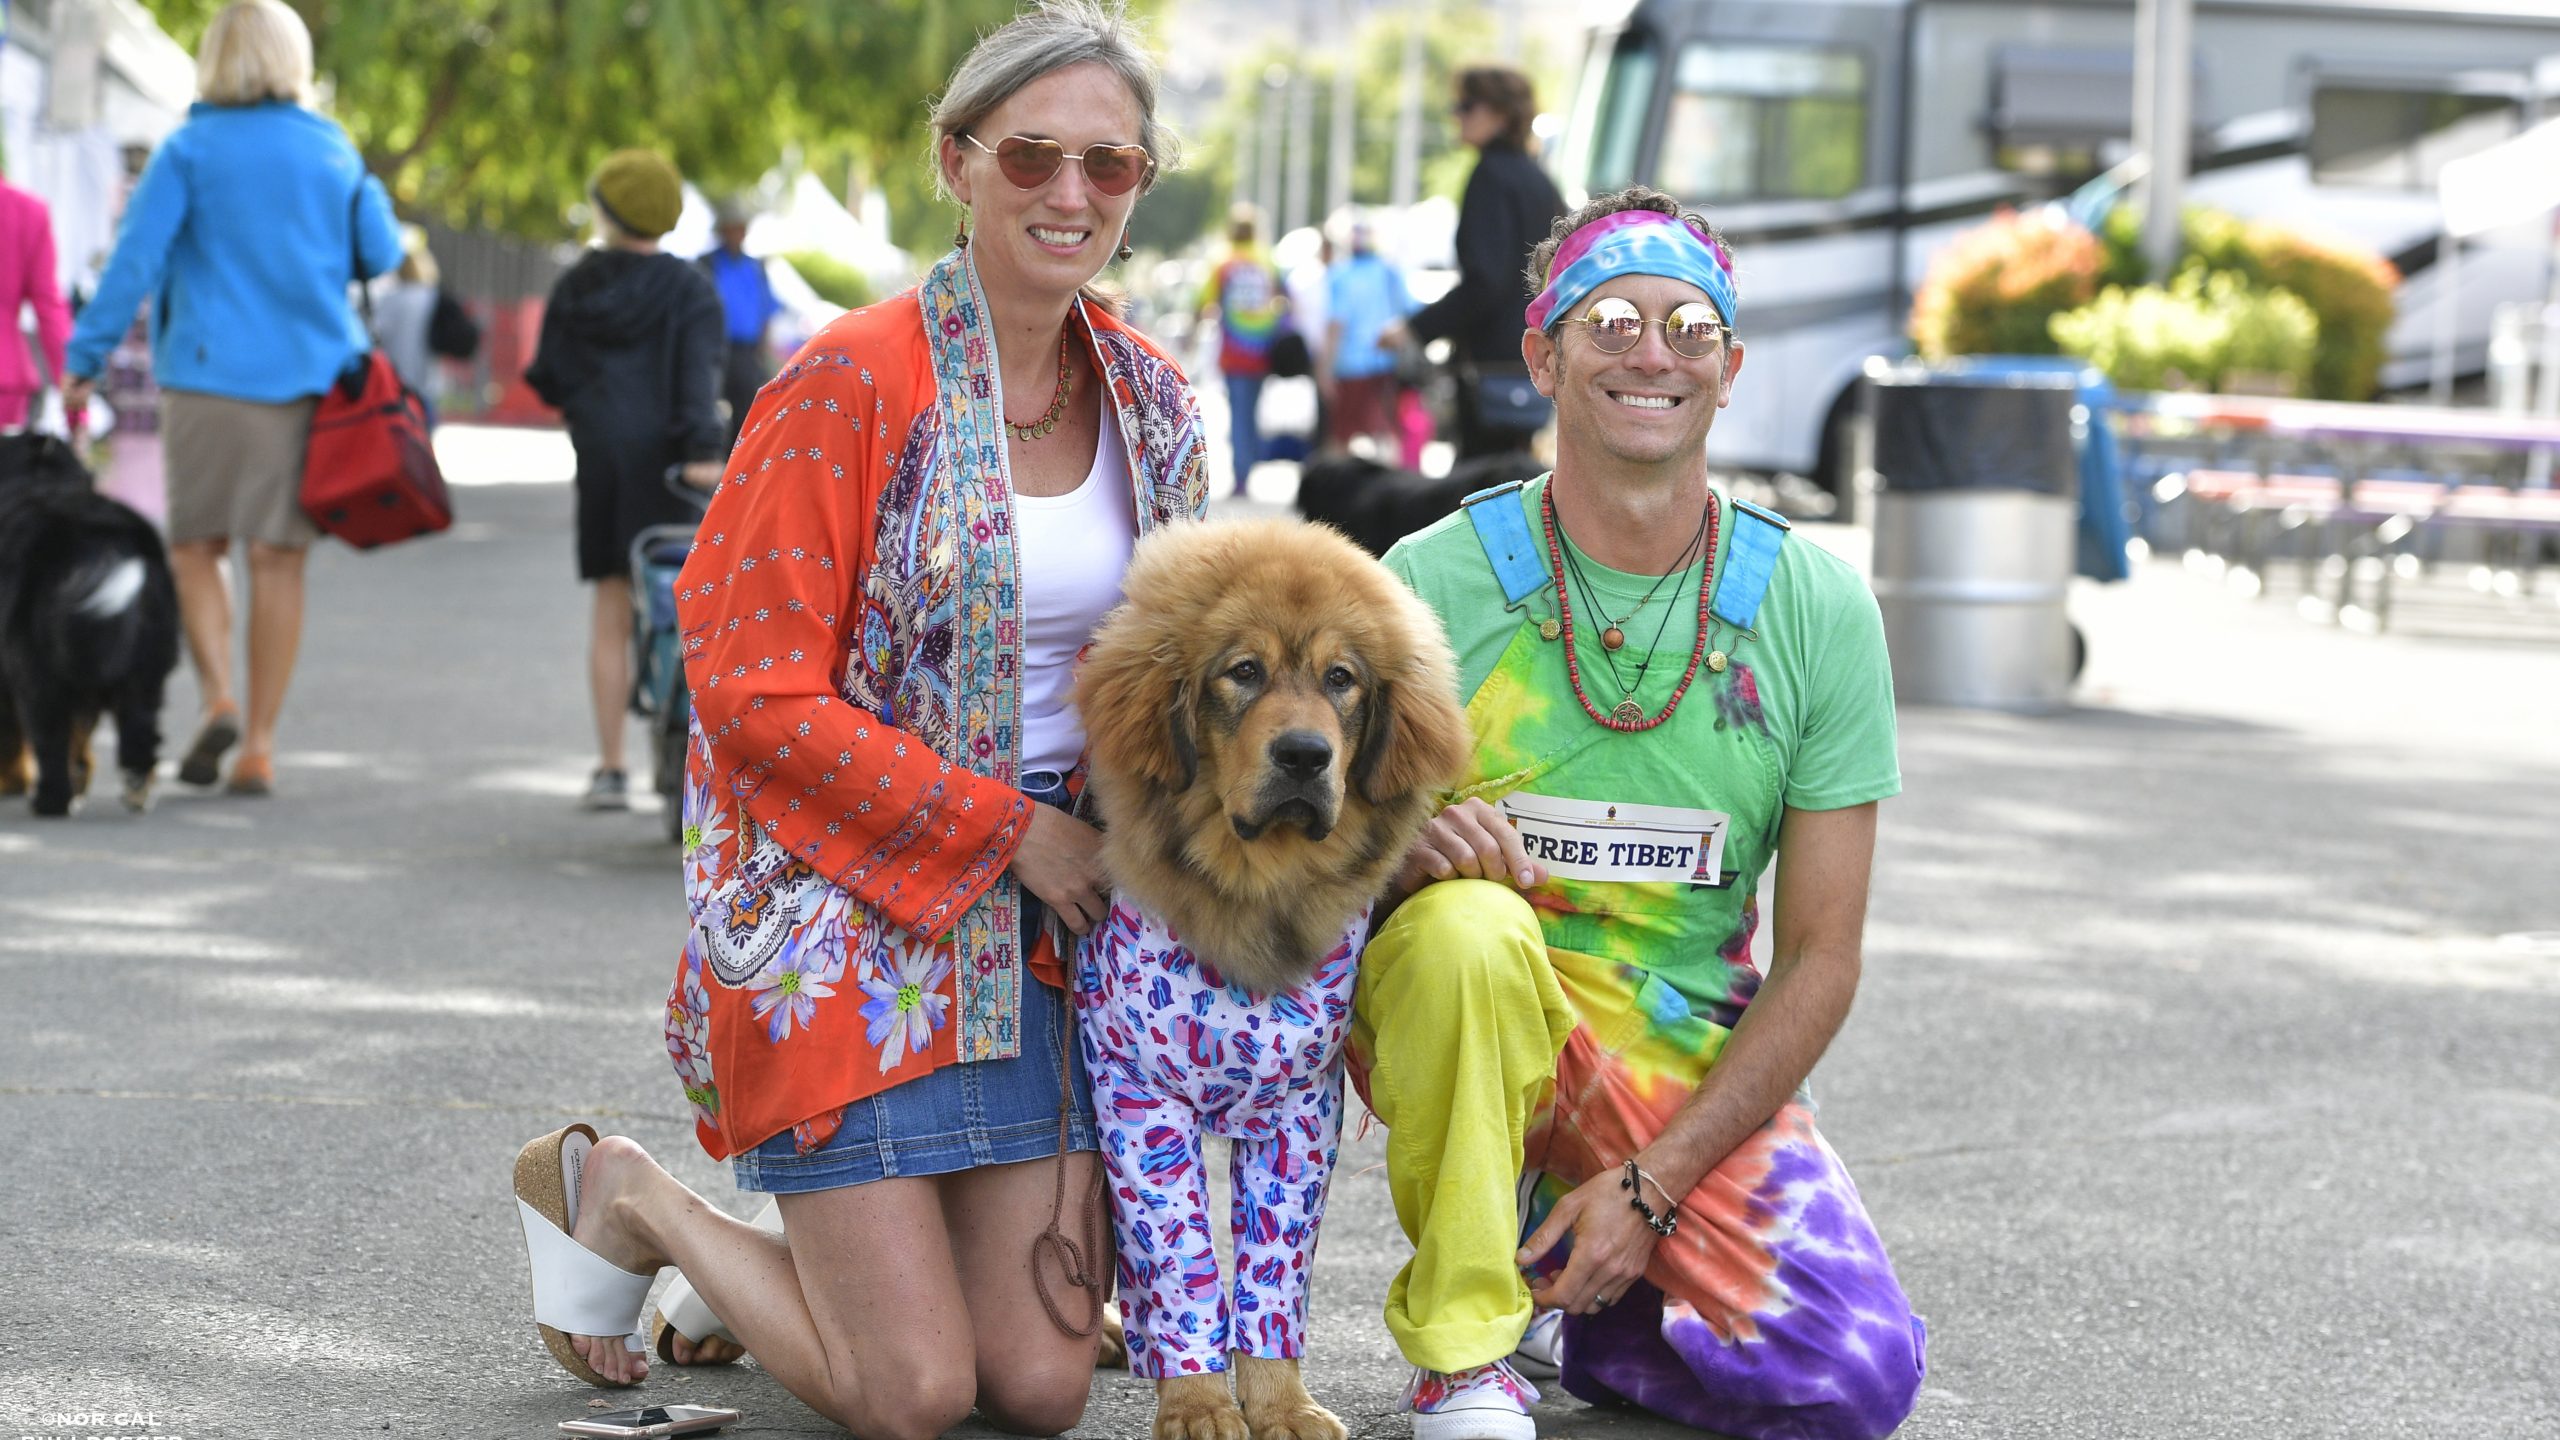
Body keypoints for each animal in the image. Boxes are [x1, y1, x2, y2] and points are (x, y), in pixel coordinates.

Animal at [0, 430, 180, 814]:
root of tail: (101, 534)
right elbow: (81, 735)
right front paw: (81, 778)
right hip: (148, 667)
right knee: (140, 730)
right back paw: (137, 789)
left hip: (37, 671)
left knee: (49, 735)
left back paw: (50, 800)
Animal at [1075, 515, 1474, 1434]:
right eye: (1244, 672)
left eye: (1341, 680)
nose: (1303, 755)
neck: (1256, 892)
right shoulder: (1137, 1101)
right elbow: (1180, 1264)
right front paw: (1194, 1404)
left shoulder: (1299, 1114)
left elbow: (1272, 1277)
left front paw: (1279, 1405)